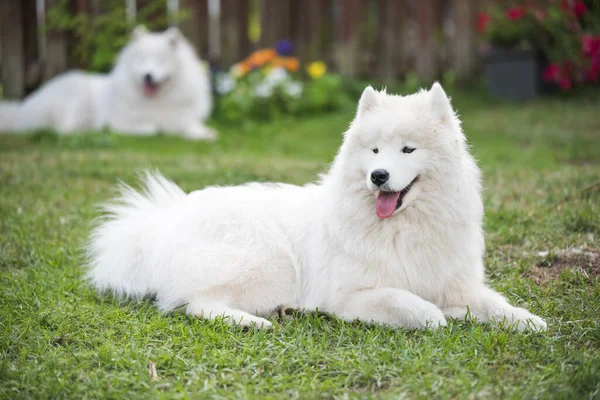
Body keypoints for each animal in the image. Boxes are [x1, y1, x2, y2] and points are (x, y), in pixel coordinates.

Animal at [0, 25, 216, 141]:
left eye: (161, 60)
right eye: (141, 60)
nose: (147, 76)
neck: (158, 102)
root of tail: (22, 109)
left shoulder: (183, 120)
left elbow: (193, 129)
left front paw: (206, 135)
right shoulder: (119, 121)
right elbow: (151, 129)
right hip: (76, 98)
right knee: (62, 129)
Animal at [85, 83, 548, 332]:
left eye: (407, 149)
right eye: (374, 150)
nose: (378, 175)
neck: (404, 227)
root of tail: (158, 228)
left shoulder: (456, 283)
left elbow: (492, 304)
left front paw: (528, 321)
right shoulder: (351, 295)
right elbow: (419, 309)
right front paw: (436, 316)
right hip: (268, 261)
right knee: (198, 304)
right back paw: (255, 320)